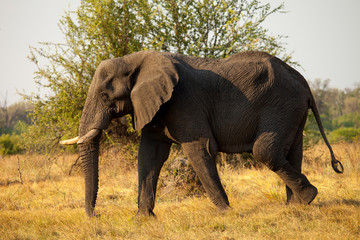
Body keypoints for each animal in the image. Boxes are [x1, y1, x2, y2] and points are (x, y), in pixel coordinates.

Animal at [61, 50, 344, 218]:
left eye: (104, 96)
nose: (95, 215)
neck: (137, 60)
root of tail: (305, 82)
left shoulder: (185, 102)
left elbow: (200, 148)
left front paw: (225, 213)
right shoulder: (156, 105)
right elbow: (150, 156)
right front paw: (143, 218)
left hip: (282, 107)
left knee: (265, 151)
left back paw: (308, 198)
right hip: (292, 111)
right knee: (292, 151)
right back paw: (296, 206)